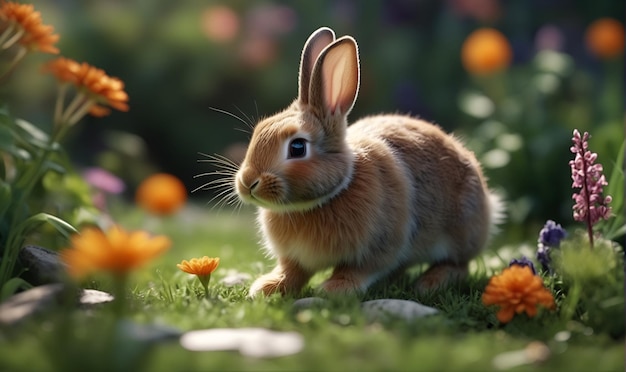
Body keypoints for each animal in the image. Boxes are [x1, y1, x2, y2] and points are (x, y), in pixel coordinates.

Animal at [233, 27, 502, 298]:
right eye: (259, 131)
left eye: (297, 147)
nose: (247, 182)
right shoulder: (295, 258)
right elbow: (292, 271)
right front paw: (267, 287)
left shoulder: (380, 246)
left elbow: (358, 269)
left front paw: (334, 288)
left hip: (460, 232)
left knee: (458, 264)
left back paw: (430, 282)